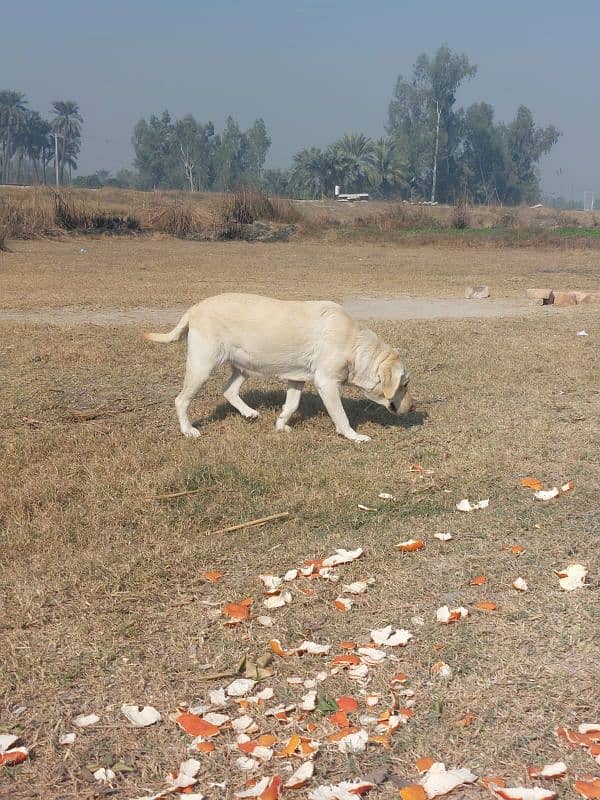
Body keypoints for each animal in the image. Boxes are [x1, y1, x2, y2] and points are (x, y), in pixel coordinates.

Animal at [144, 294, 412, 444]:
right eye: (405, 384)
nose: (413, 408)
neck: (354, 342)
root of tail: (195, 308)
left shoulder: (298, 379)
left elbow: (291, 405)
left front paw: (281, 426)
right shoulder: (326, 383)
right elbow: (341, 416)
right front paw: (354, 437)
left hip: (244, 367)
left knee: (228, 390)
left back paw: (249, 413)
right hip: (202, 366)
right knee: (181, 400)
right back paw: (188, 430)